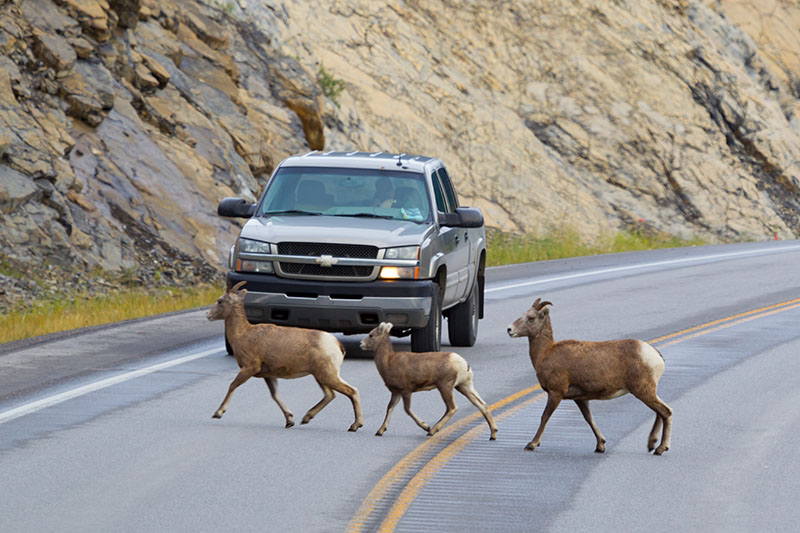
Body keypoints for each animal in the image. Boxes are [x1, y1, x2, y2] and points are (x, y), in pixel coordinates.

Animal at [207, 281, 364, 432]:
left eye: (220, 301)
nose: (208, 314)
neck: (242, 334)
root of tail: (337, 344)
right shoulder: (268, 375)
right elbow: (275, 395)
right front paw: (289, 421)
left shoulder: (249, 368)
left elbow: (233, 385)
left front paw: (218, 413)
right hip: (321, 376)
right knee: (330, 394)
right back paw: (306, 418)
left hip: (327, 375)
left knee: (351, 391)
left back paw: (355, 426)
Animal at [360, 322, 497, 439]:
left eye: (371, 335)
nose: (361, 344)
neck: (388, 362)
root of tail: (464, 364)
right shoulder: (396, 392)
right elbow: (389, 408)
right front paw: (380, 431)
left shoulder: (406, 390)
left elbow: (407, 410)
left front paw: (426, 426)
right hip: (463, 385)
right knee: (481, 404)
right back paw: (493, 434)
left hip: (445, 385)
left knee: (452, 407)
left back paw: (432, 431)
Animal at [507, 298, 672, 454]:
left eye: (531, 317)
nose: (509, 329)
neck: (545, 353)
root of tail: (655, 354)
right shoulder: (580, 399)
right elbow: (589, 419)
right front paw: (600, 446)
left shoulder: (556, 393)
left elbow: (544, 417)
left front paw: (531, 444)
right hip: (648, 391)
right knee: (660, 412)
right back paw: (651, 444)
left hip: (643, 391)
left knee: (666, 412)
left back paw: (660, 449)